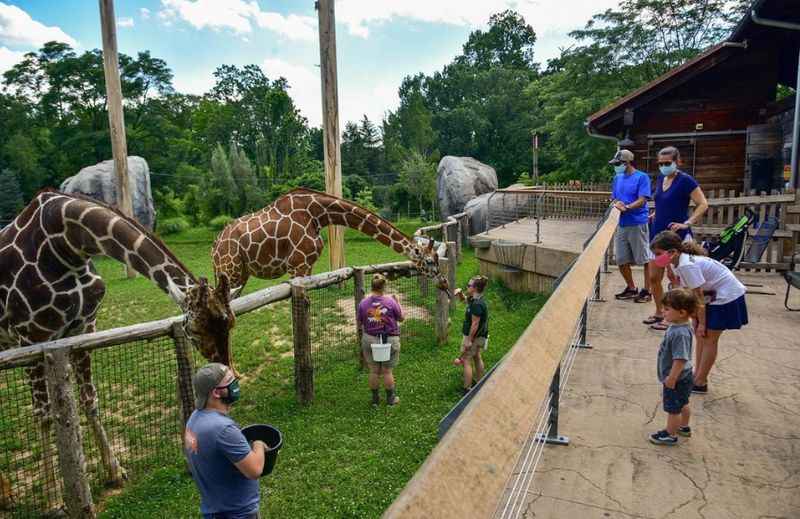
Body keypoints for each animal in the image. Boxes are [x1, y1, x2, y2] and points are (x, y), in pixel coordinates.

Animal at [0, 189, 236, 510]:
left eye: (232, 323)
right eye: (196, 329)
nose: (225, 372)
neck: (66, 243)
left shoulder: (83, 328)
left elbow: (89, 399)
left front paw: (115, 471)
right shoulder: (32, 336)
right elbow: (44, 414)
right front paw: (53, 499)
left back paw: (7, 493)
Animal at [212, 187, 450, 294]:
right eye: (430, 261)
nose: (445, 283)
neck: (318, 215)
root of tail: (214, 248)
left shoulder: (306, 267)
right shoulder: (296, 266)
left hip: (240, 275)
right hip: (231, 273)